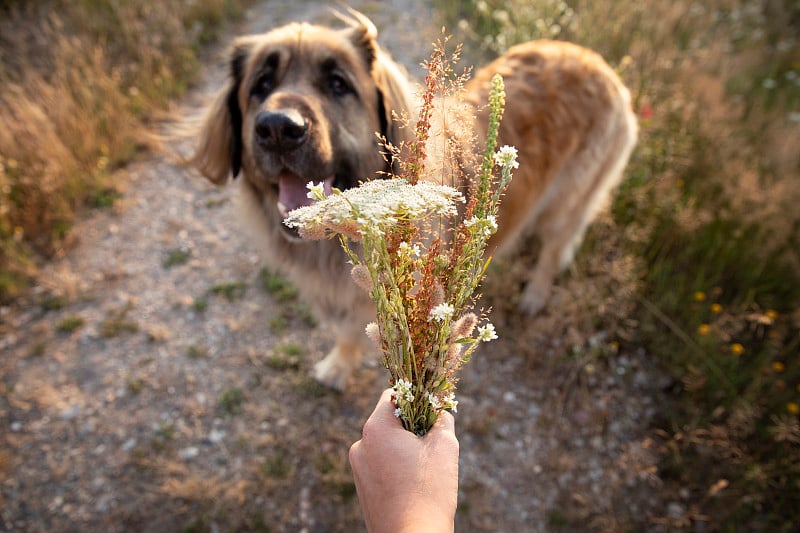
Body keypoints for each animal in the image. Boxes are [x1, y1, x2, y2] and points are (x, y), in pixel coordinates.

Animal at [191, 10, 636, 388]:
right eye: (261, 86)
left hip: (569, 198)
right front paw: (339, 364)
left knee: (554, 247)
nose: (280, 129)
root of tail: (596, 59)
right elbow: (352, 332)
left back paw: (535, 295)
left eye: (338, 84)